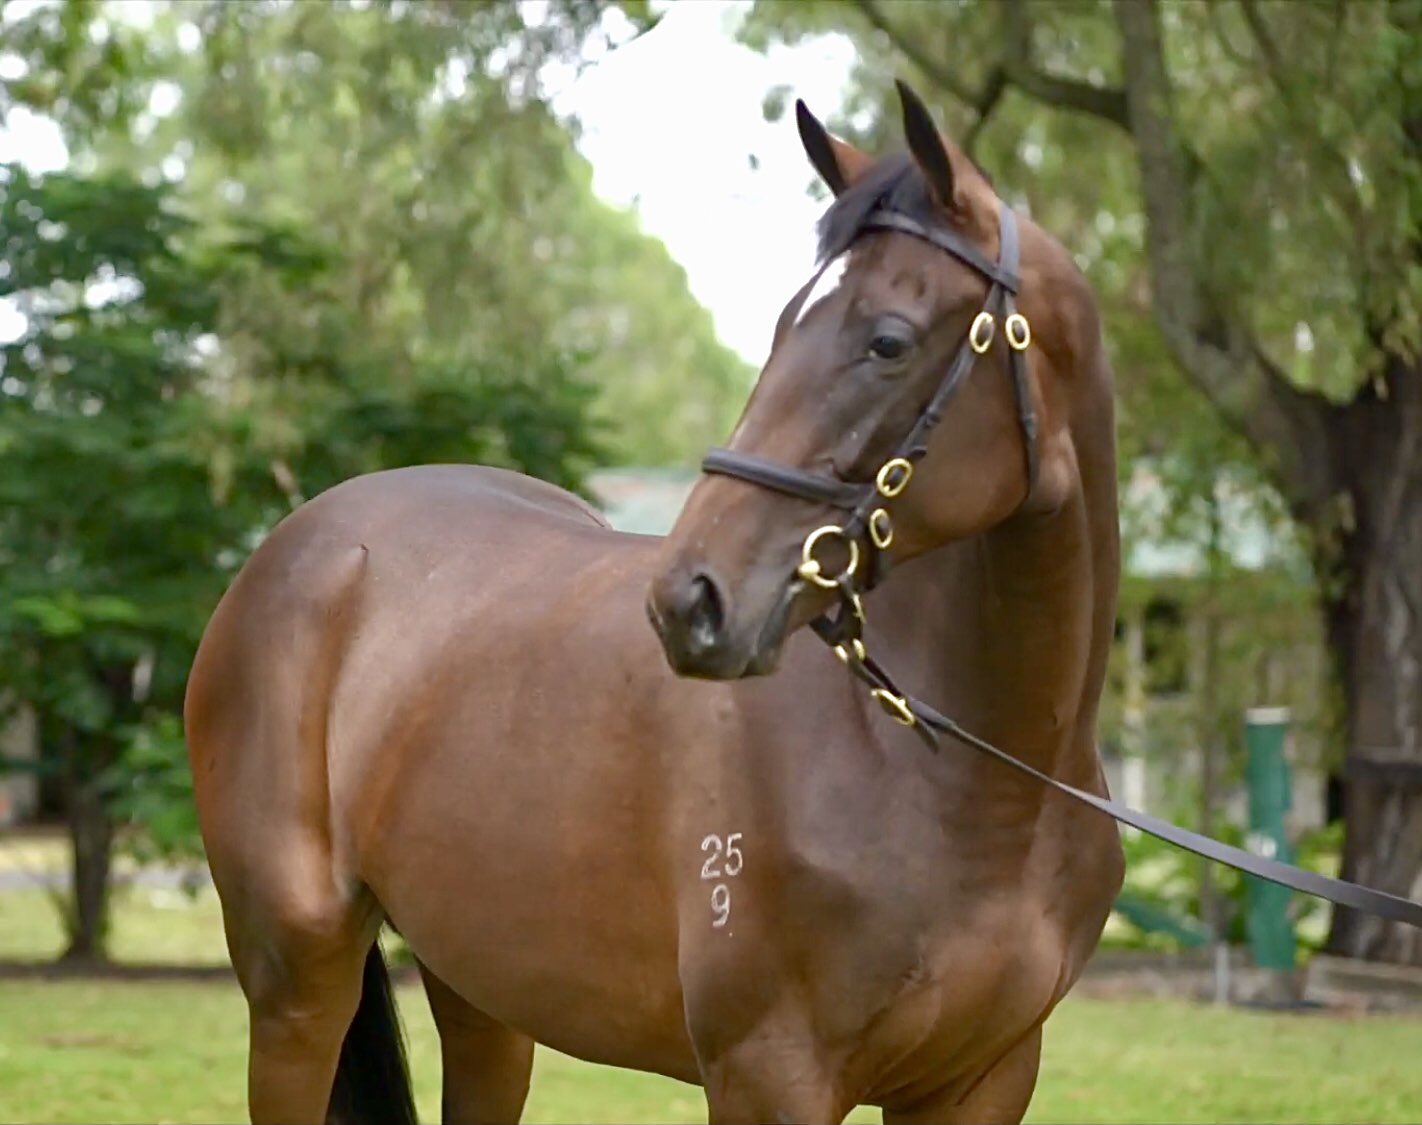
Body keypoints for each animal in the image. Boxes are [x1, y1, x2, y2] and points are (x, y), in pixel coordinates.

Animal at [185, 81, 1124, 1125]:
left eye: (888, 339)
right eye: (783, 324)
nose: (690, 600)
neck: (975, 788)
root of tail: (298, 544)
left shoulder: (984, 1079)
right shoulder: (767, 1075)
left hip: (484, 991)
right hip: (297, 985)